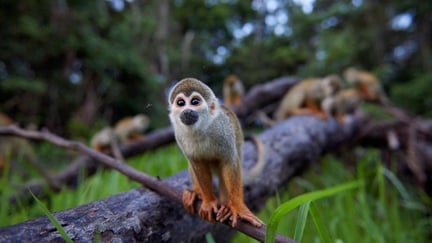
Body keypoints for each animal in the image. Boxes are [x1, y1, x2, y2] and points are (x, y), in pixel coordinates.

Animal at [168, 77, 264, 228]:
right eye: (181, 103)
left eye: (195, 102)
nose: (187, 110)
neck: (199, 129)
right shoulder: (179, 135)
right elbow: (197, 163)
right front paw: (208, 201)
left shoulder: (223, 130)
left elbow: (229, 161)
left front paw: (238, 207)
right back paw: (197, 192)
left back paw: (226, 206)